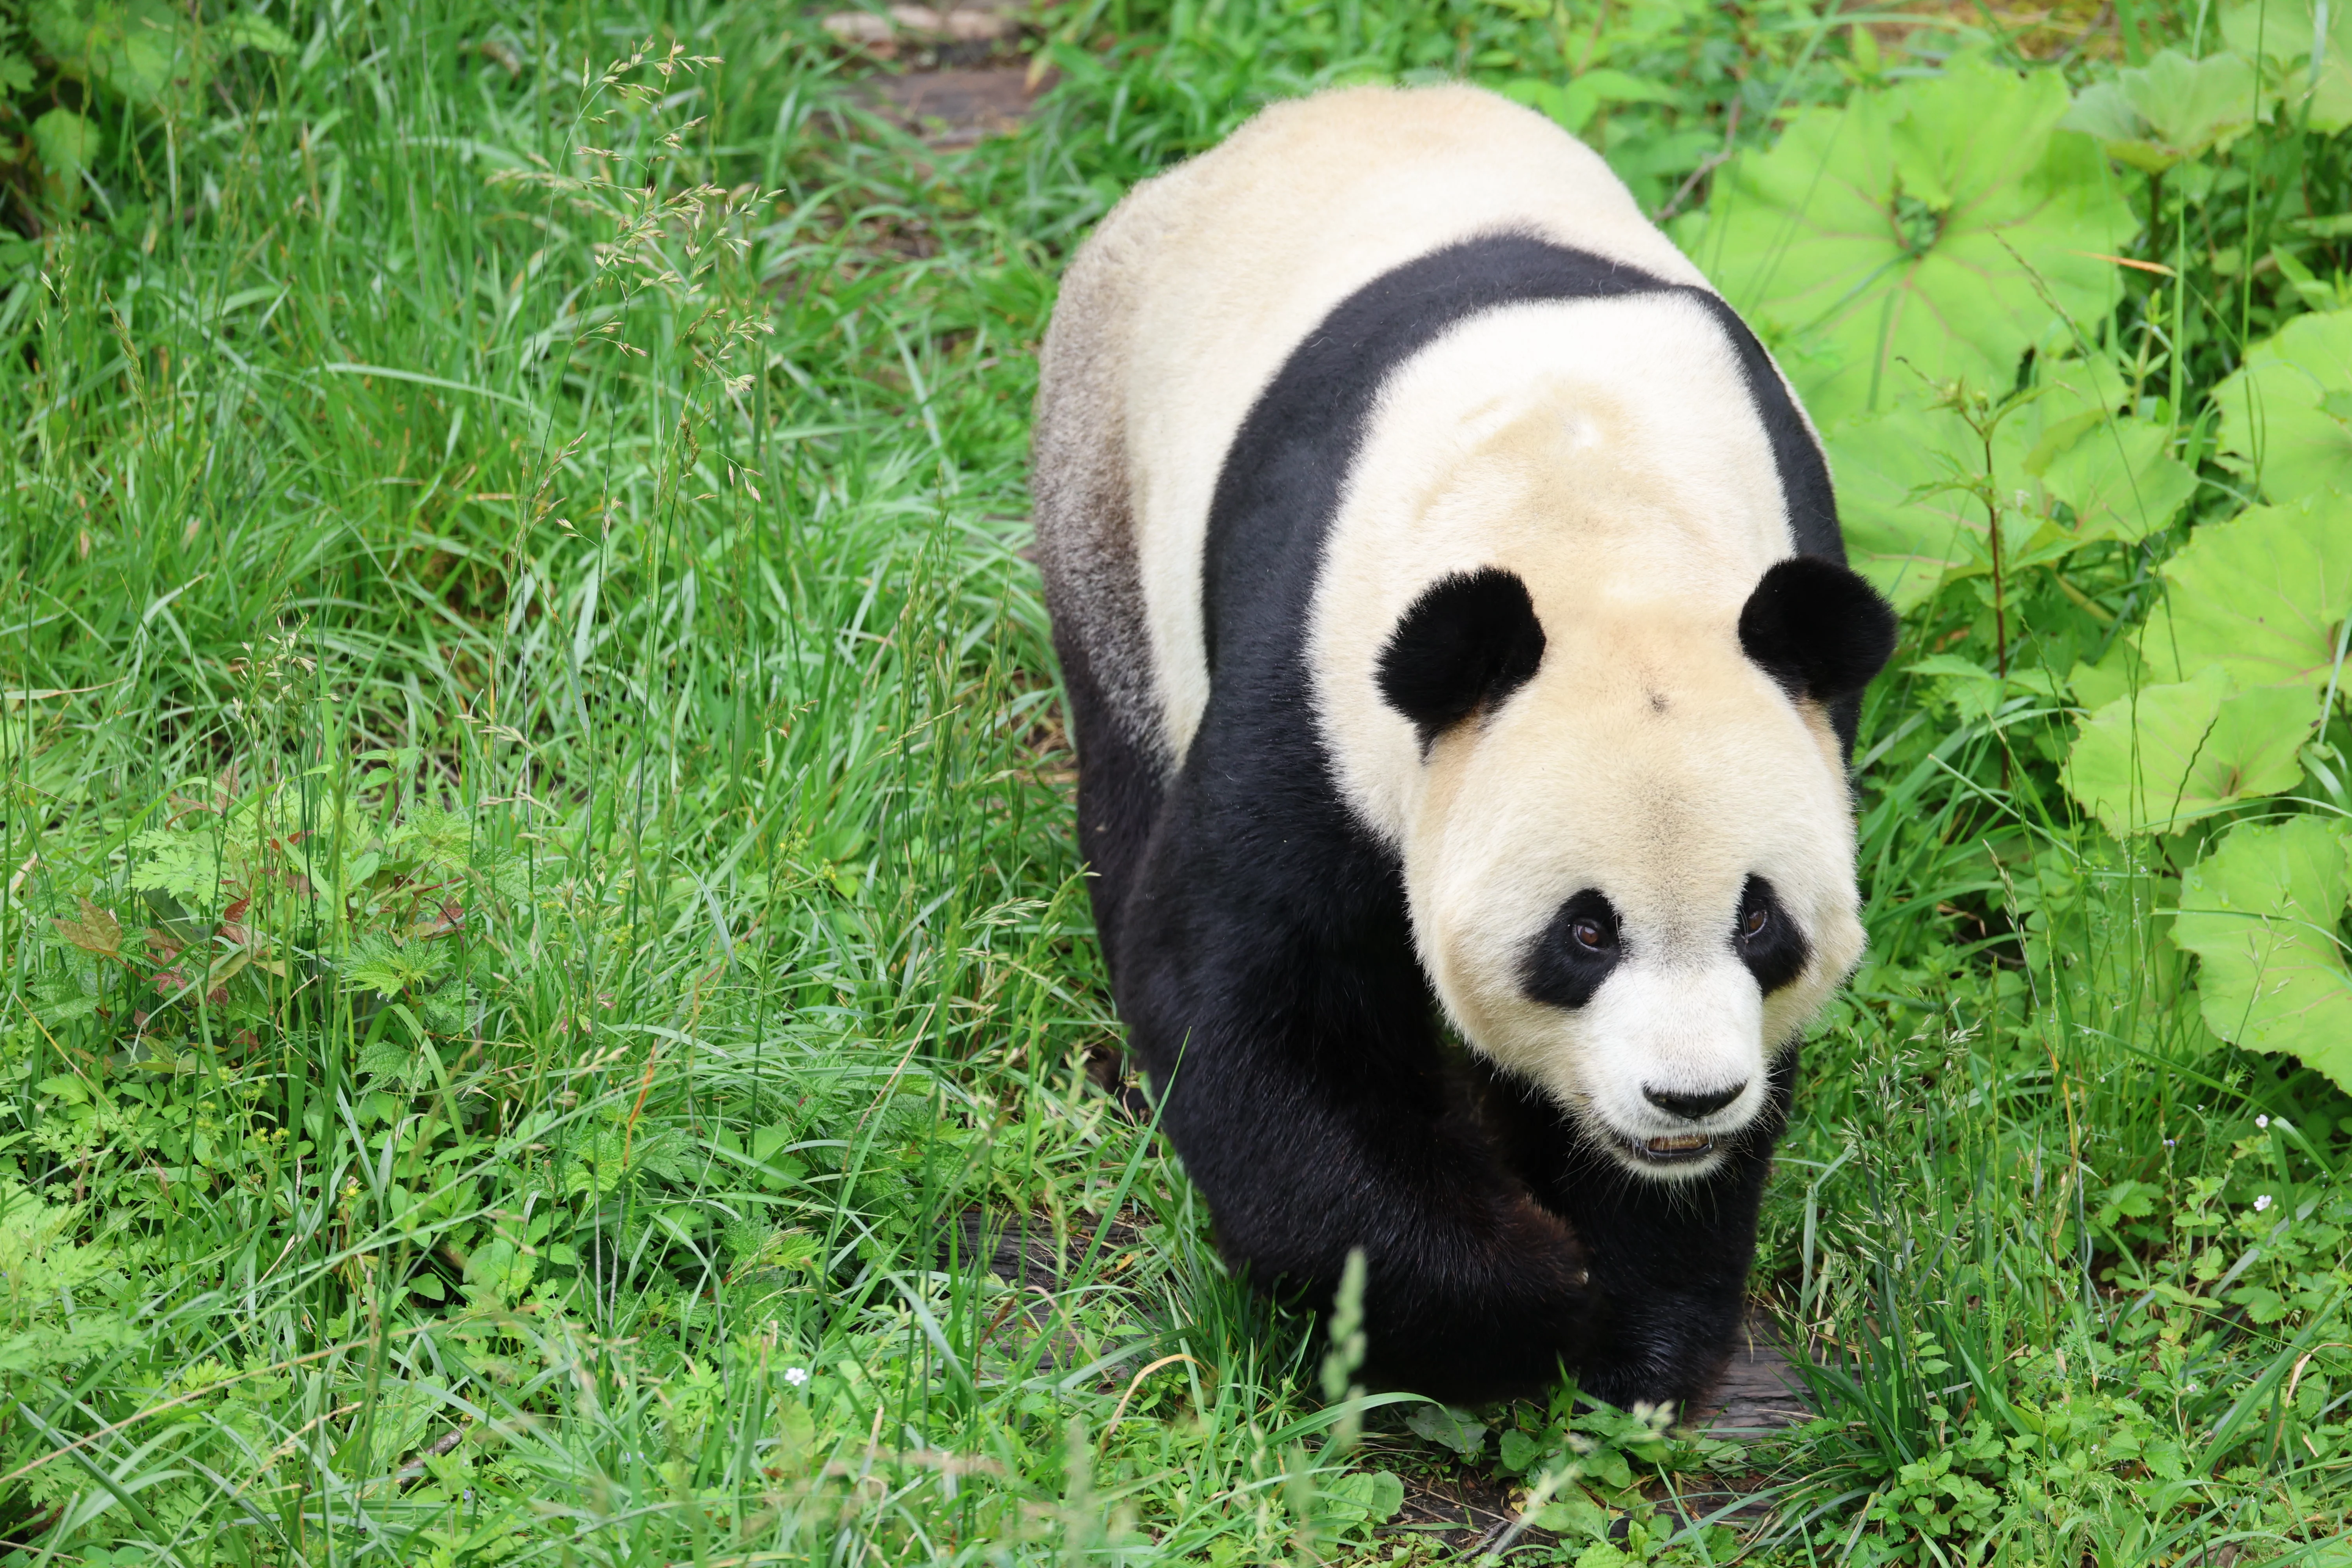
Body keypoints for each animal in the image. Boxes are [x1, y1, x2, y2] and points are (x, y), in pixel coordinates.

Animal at [1030, 83, 1897, 1408]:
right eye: (1585, 932)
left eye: (1760, 920)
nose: (1685, 1097)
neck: (1593, 528)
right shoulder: (1322, 687)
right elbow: (1252, 1001)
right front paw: (1520, 1292)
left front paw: (1643, 1323)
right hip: (1107, 470)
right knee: (1126, 774)